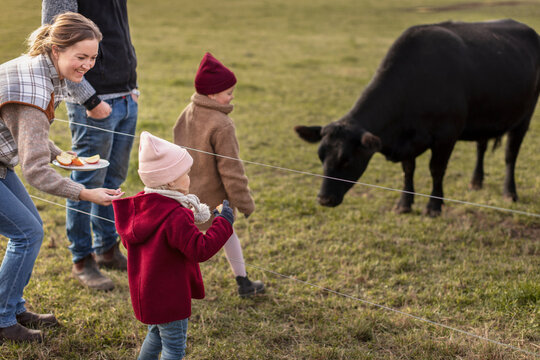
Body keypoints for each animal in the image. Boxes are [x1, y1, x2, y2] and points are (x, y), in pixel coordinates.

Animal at [296, 18, 540, 217]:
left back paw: (509, 192)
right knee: (481, 145)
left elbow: (436, 170)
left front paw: (434, 206)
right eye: (321, 157)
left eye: (346, 160)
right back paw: (476, 181)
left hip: (524, 118)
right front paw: (404, 204)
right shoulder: (407, 140)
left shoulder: (446, 136)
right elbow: (408, 170)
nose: (324, 199)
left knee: (510, 156)